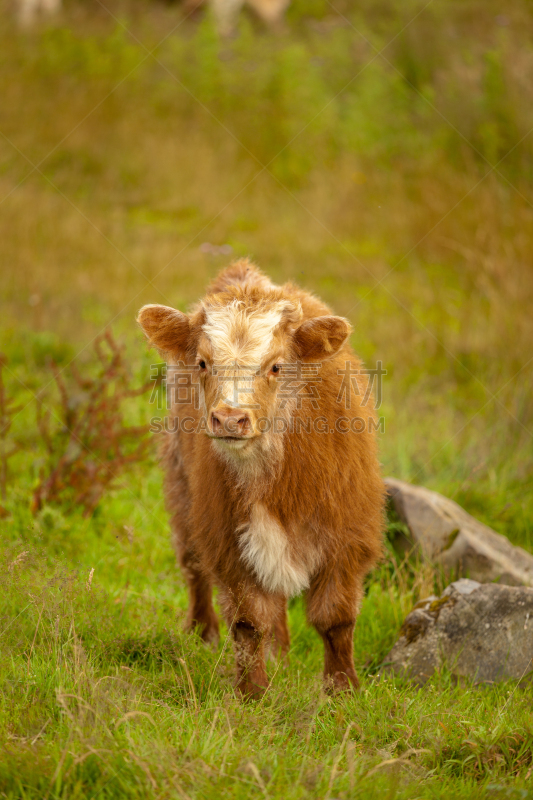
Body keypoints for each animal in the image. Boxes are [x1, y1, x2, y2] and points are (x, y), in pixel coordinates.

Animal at [138, 260, 382, 696]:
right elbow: (248, 620)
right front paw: (252, 692)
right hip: (181, 489)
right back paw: (202, 634)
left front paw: (342, 689)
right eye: (203, 363)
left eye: (276, 366)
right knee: (194, 565)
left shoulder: (348, 534)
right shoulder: (227, 537)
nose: (230, 419)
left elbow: (335, 618)